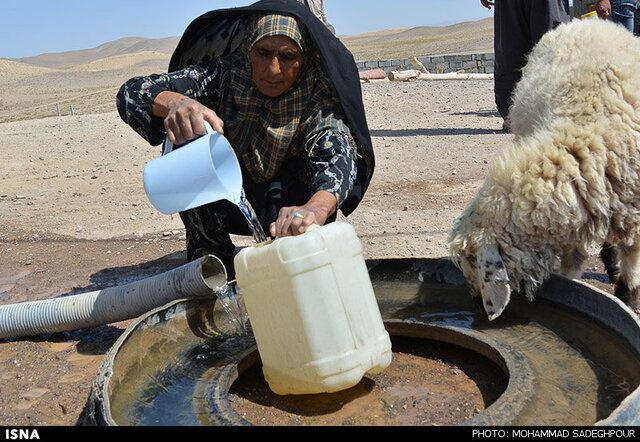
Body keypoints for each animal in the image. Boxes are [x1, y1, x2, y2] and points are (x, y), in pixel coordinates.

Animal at [448, 18, 640, 322]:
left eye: (469, 263)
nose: (476, 307)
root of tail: (584, 21)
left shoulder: (631, 207)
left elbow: (632, 253)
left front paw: (628, 297)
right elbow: (573, 259)